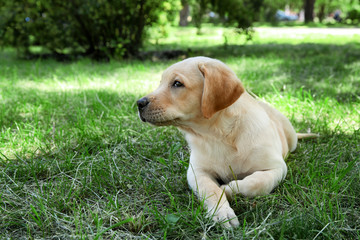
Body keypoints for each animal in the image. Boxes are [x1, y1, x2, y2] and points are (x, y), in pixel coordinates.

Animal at [136, 56, 316, 227]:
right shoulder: (197, 172)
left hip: (291, 137)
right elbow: (211, 190)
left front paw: (228, 189)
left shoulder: (277, 168)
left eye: (177, 83)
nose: (139, 103)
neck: (218, 135)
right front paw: (222, 213)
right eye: (160, 83)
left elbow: (257, 183)